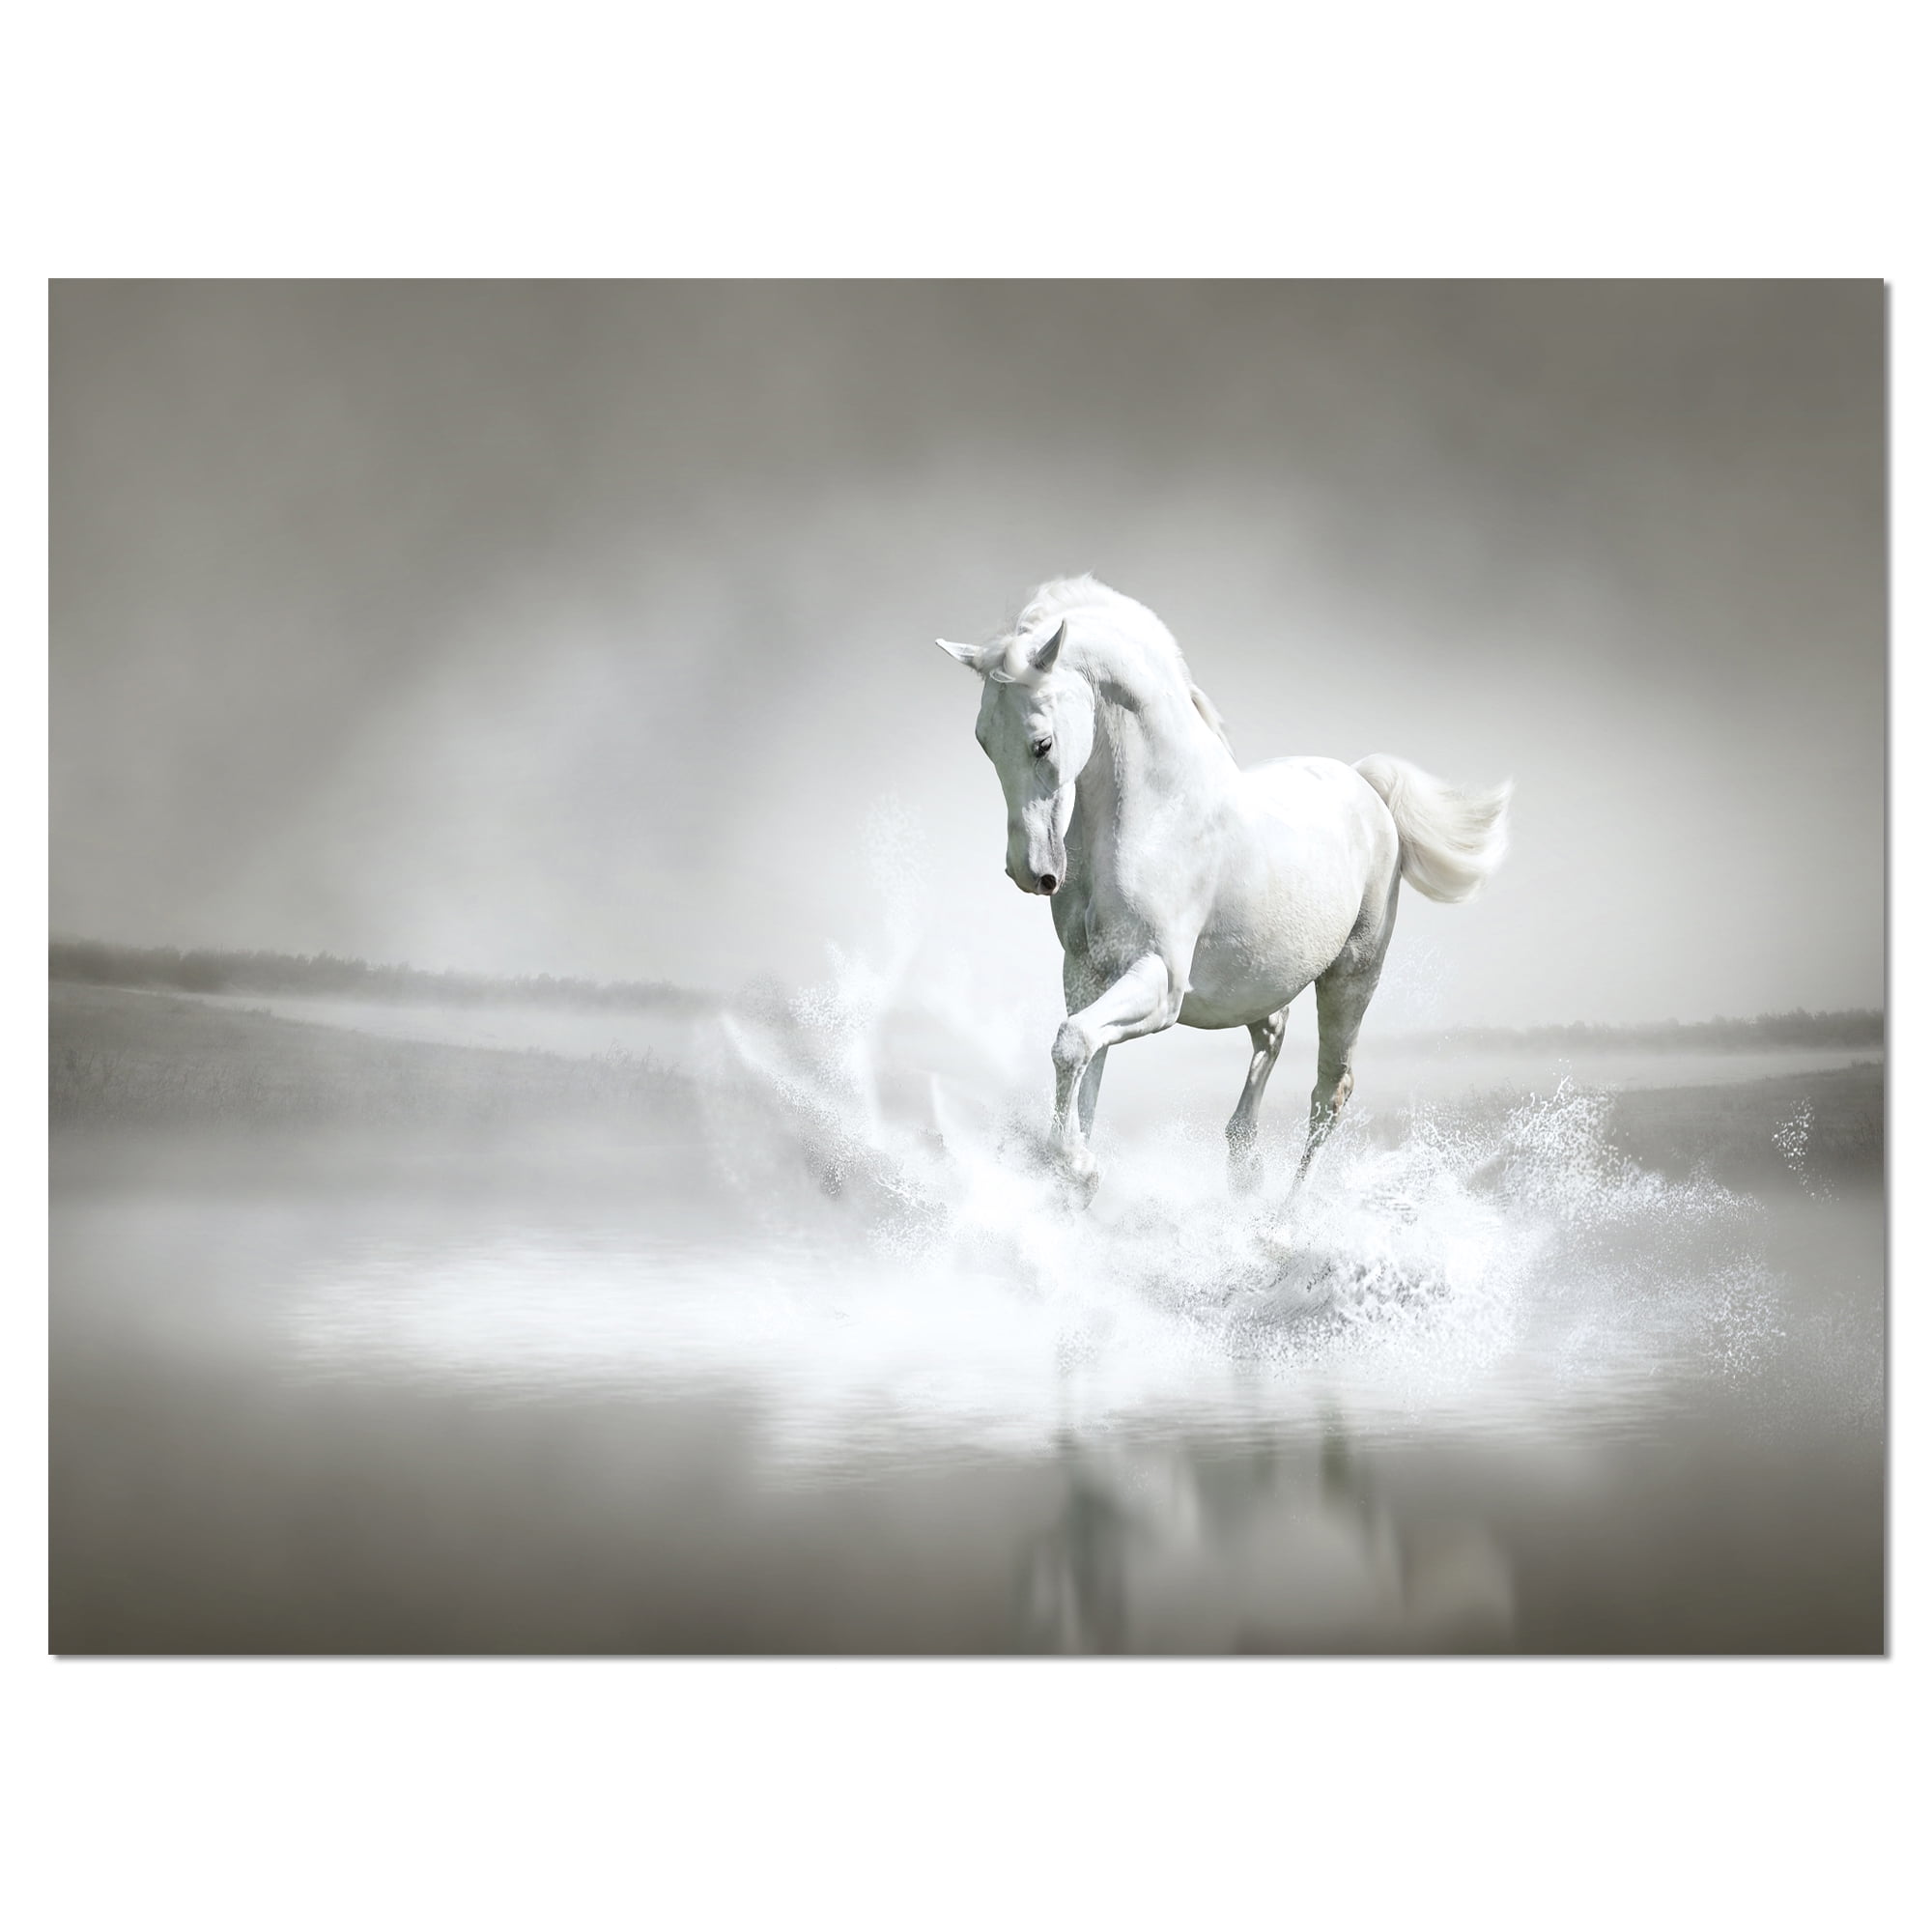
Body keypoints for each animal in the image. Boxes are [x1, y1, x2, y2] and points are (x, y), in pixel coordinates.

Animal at [937, 575, 1511, 1202]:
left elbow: (1072, 1043)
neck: (1156, 813)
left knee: (1329, 1093)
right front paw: (1074, 1173)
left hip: (1352, 978)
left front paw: (1080, 1168)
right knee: (1273, 1038)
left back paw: (1285, 1214)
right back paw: (1243, 1165)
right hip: (1259, 979)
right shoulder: (1087, 974)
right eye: (983, 741)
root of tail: (1365, 786)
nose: (1031, 872)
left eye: (1041, 743)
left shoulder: (1160, 981)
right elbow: (1084, 1058)